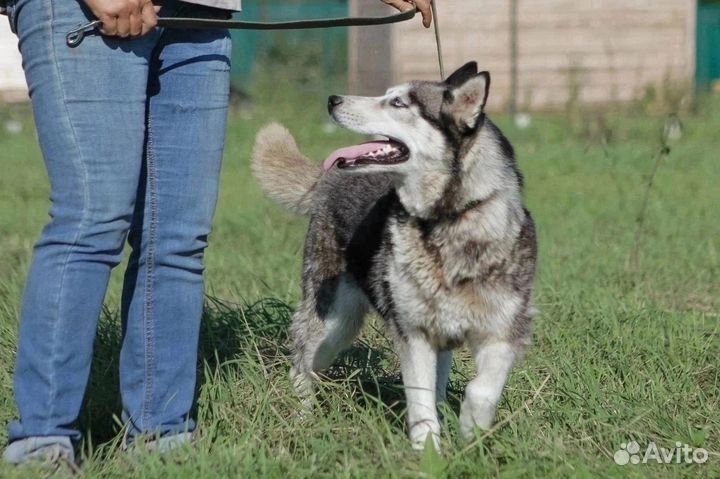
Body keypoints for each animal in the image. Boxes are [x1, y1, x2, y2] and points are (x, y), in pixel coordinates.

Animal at [253, 62, 536, 450]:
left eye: (399, 103)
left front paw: (471, 434)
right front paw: (428, 451)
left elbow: (481, 390)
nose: (333, 99)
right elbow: (421, 403)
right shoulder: (412, 334)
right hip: (333, 327)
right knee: (302, 364)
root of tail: (327, 180)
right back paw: (303, 418)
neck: (447, 222)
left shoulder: (503, 333)